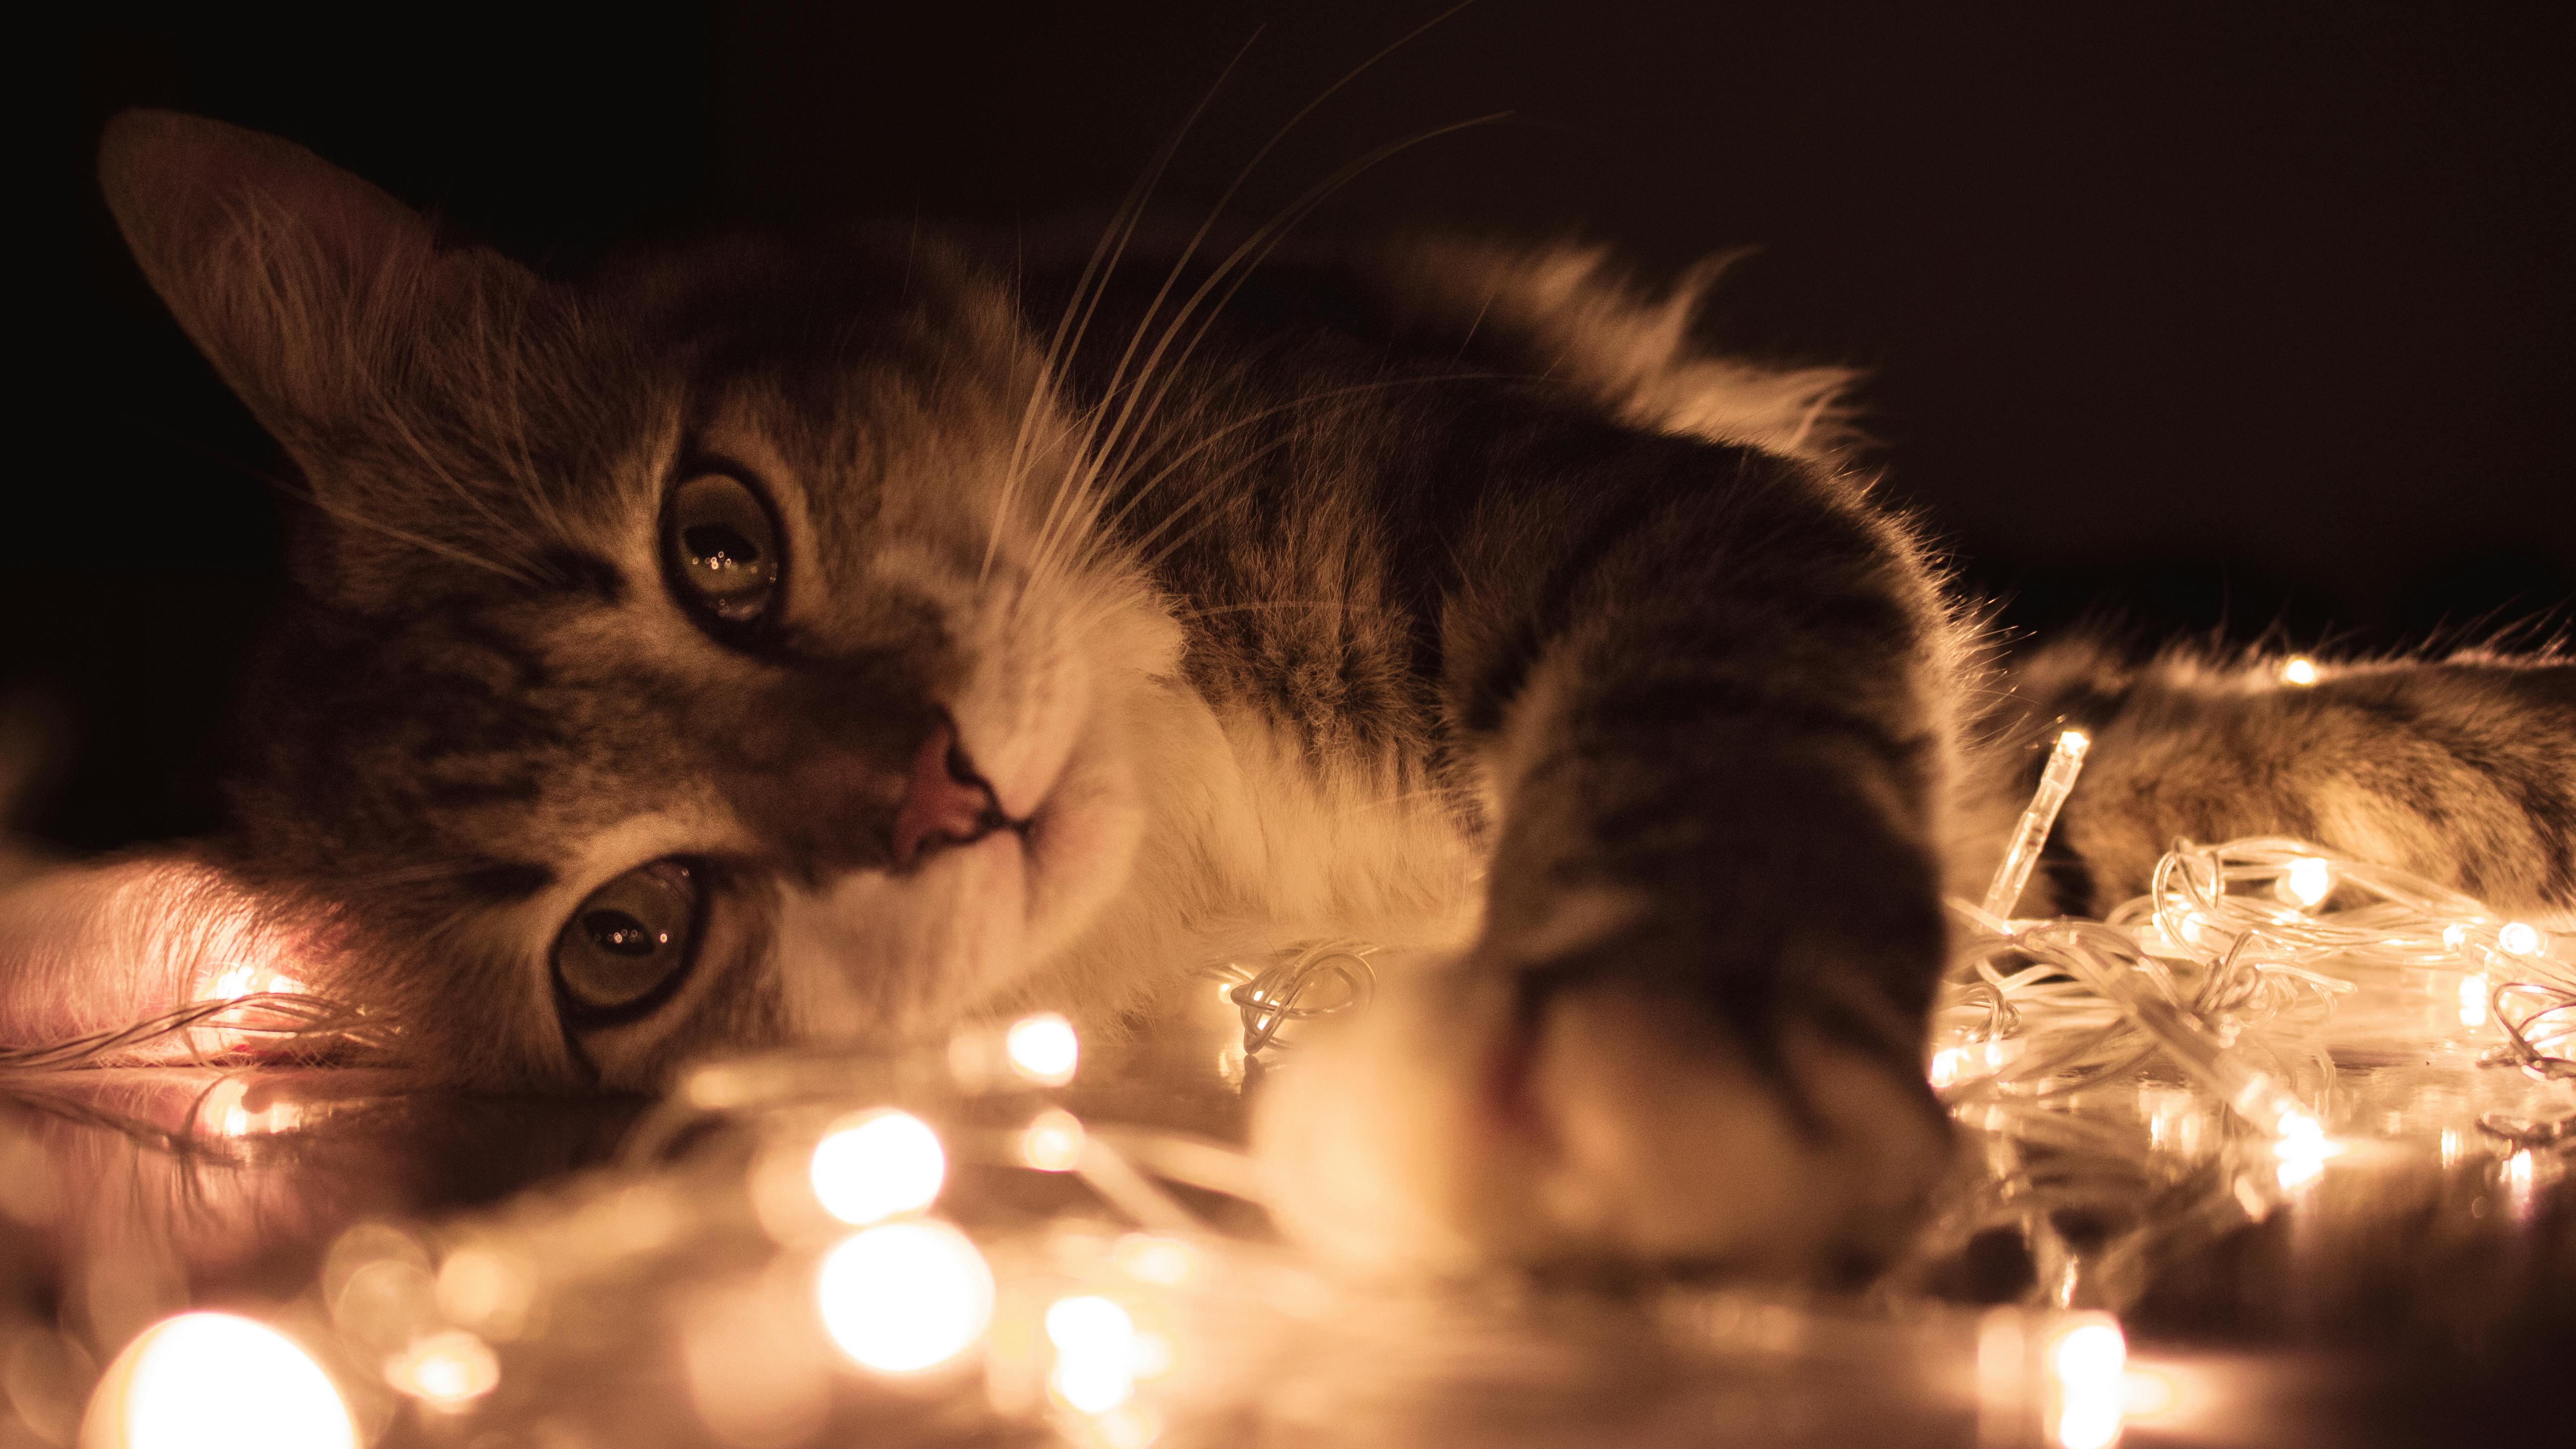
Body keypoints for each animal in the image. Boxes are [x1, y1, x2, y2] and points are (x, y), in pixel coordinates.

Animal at [5, 113, 2576, 1279]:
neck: (1203, 842)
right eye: (624, 945)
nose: (933, 794)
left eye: (717, 542)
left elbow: (2084, 738)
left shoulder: (1644, 517)